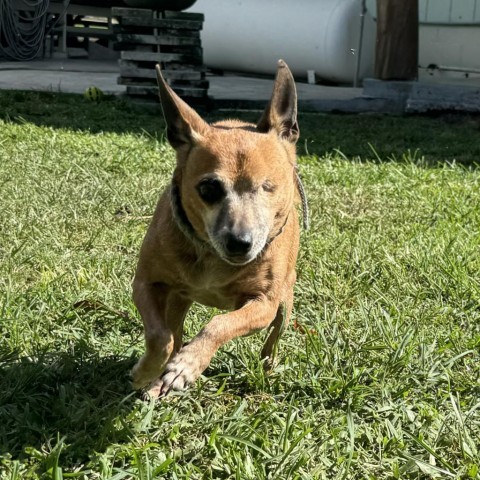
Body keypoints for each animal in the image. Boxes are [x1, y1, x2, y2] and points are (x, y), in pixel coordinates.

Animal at [131, 60, 302, 398]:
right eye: (208, 188)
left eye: (268, 188)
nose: (240, 242)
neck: (212, 255)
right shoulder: (145, 283)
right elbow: (160, 337)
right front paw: (148, 371)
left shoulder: (263, 304)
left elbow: (219, 324)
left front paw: (187, 366)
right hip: (177, 299)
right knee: (174, 330)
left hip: (284, 301)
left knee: (274, 337)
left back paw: (267, 366)